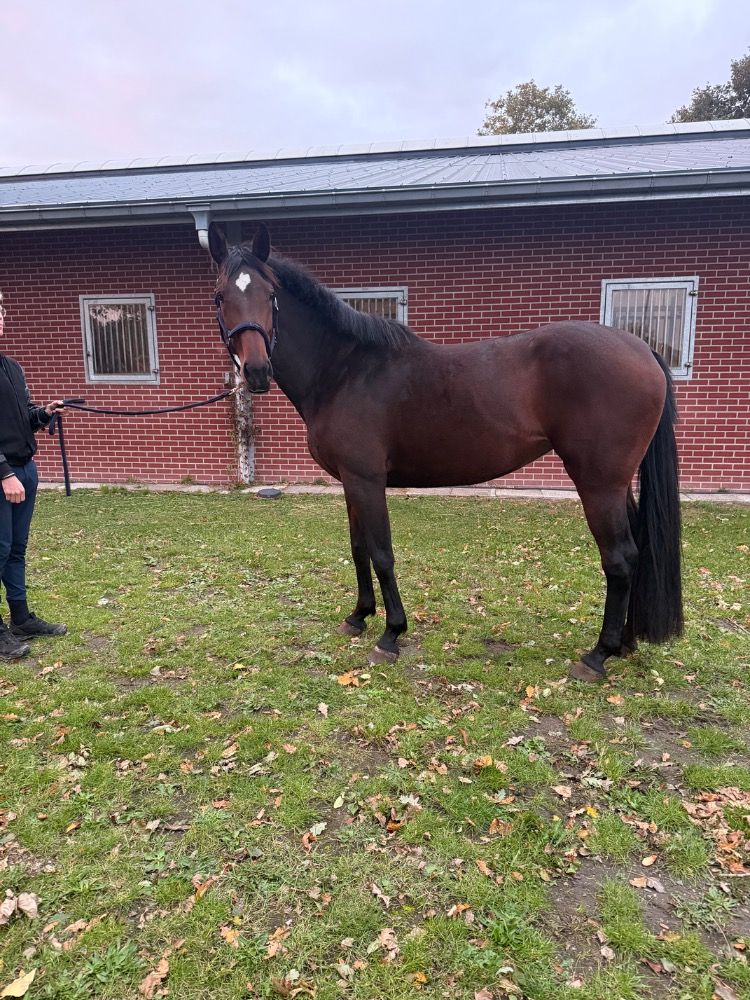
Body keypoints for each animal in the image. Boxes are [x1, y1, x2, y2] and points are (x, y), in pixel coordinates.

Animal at [208, 223, 683, 683]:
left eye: (270, 295)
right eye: (221, 296)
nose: (256, 371)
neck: (345, 370)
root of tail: (643, 348)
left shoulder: (367, 480)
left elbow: (382, 553)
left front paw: (391, 635)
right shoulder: (349, 482)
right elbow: (358, 548)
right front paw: (358, 616)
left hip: (598, 483)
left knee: (619, 559)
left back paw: (598, 655)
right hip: (616, 484)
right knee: (635, 550)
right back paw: (624, 643)